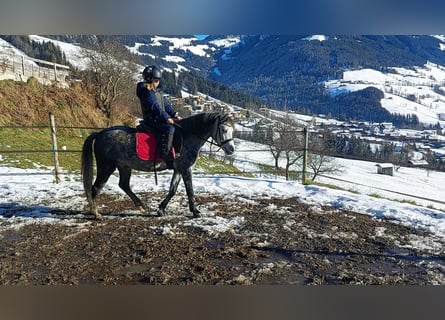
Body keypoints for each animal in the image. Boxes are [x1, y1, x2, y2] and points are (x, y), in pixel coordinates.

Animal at [80, 111, 234, 219]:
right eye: (224, 130)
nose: (231, 149)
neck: (188, 135)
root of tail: (100, 134)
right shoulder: (186, 168)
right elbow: (190, 190)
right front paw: (196, 212)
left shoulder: (179, 169)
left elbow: (172, 190)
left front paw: (161, 209)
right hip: (106, 167)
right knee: (96, 188)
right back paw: (96, 213)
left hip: (124, 166)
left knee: (124, 185)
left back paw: (141, 206)